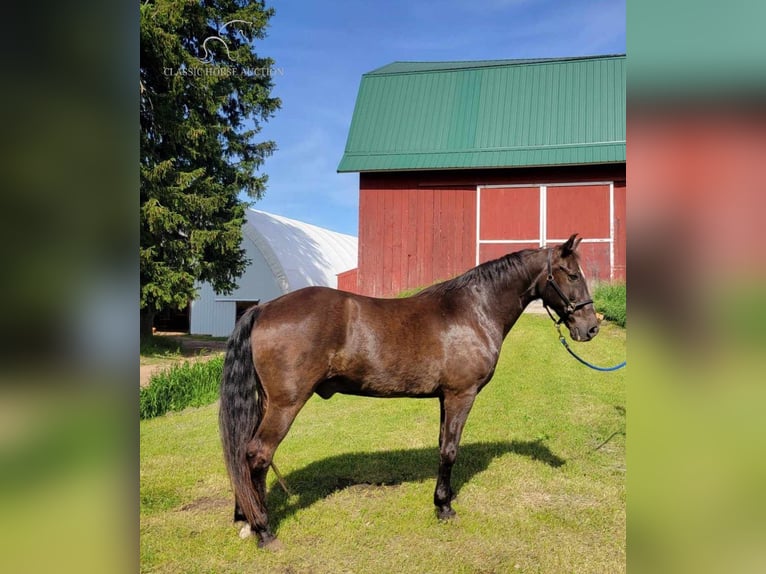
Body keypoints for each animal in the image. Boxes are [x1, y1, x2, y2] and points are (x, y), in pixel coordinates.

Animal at [219, 233, 604, 548]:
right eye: (572, 275)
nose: (591, 328)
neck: (473, 310)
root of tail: (263, 308)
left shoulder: (445, 398)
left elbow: (442, 447)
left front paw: (443, 499)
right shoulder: (461, 395)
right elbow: (450, 451)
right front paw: (444, 507)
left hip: (267, 403)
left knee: (245, 454)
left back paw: (246, 518)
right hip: (285, 404)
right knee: (257, 454)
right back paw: (264, 530)